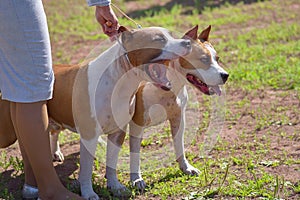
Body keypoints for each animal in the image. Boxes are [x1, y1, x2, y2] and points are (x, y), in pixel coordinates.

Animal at [0, 26, 191, 200]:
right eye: (159, 39)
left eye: (171, 35)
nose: (187, 42)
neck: (120, 80)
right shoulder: (89, 136)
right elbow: (86, 169)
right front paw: (88, 193)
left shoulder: (118, 132)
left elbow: (112, 163)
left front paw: (115, 186)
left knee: (54, 131)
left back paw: (55, 152)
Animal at [102, 25, 229, 194]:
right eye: (204, 59)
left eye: (218, 59)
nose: (225, 75)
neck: (168, 85)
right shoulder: (137, 124)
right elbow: (135, 154)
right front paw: (136, 179)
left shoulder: (178, 119)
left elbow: (179, 146)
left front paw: (186, 167)